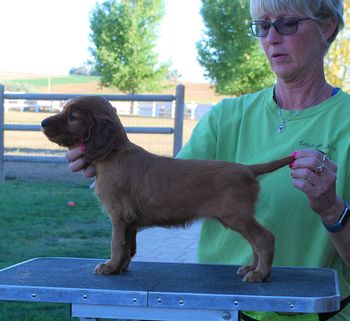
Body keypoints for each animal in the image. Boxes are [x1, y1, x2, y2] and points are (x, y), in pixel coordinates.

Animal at [40, 95, 292, 280]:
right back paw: (251, 268)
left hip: (235, 215)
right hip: (238, 217)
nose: (42, 123)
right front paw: (121, 267)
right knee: (256, 242)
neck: (113, 154)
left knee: (265, 238)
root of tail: (247, 169)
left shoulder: (119, 214)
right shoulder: (130, 219)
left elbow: (116, 244)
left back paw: (259, 274)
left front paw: (109, 267)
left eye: (72, 116)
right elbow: (129, 246)